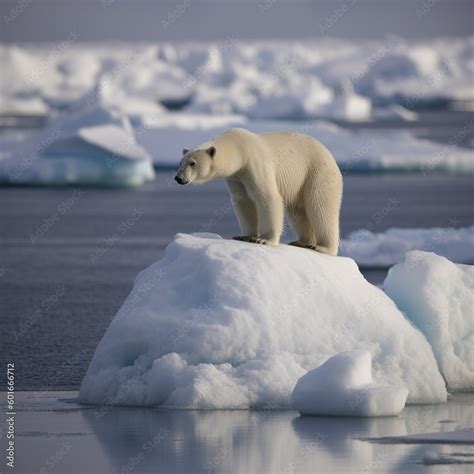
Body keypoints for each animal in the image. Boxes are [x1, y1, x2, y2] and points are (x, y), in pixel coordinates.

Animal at [176, 127, 342, 256]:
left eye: (192, 163)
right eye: (180, 163)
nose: (178, 178)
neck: (239, 149)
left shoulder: (255, 164)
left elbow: (267, 197)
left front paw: (263, 239)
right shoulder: (236, 177)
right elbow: (244, 201)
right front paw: (243, 236)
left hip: (316, 173)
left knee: (320, 207)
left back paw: (322, 247)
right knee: (298, 211)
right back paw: (301, 241)